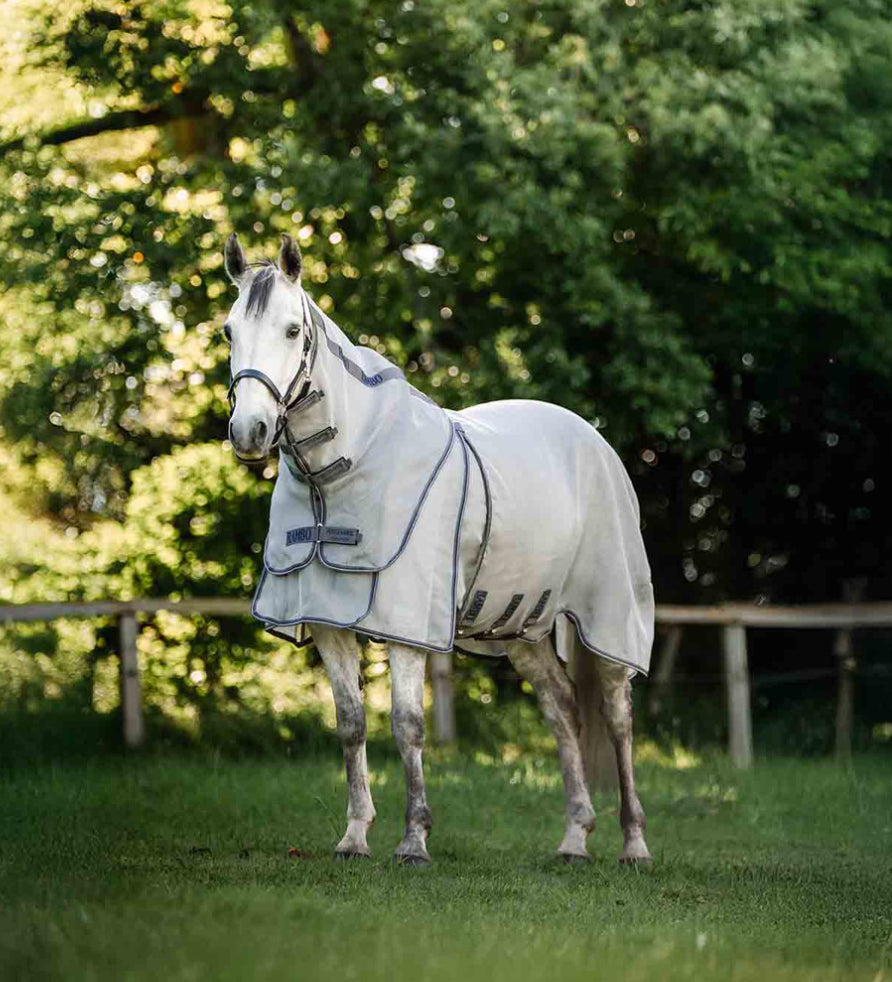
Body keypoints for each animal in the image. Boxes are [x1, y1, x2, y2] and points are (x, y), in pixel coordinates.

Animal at [222, 232, 654, 865]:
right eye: (229, 330)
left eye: (292, 330)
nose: (249, 431)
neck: (345, 467)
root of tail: (592, 438)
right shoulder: (326, 620)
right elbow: (350, 722)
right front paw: (354, 837)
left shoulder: (406, 621)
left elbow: (407, 724)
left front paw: (414, 840)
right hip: (521, 627)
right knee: (562, 709)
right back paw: (574, 839)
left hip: (610, 613)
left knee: (618, 718)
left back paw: (634, 844)